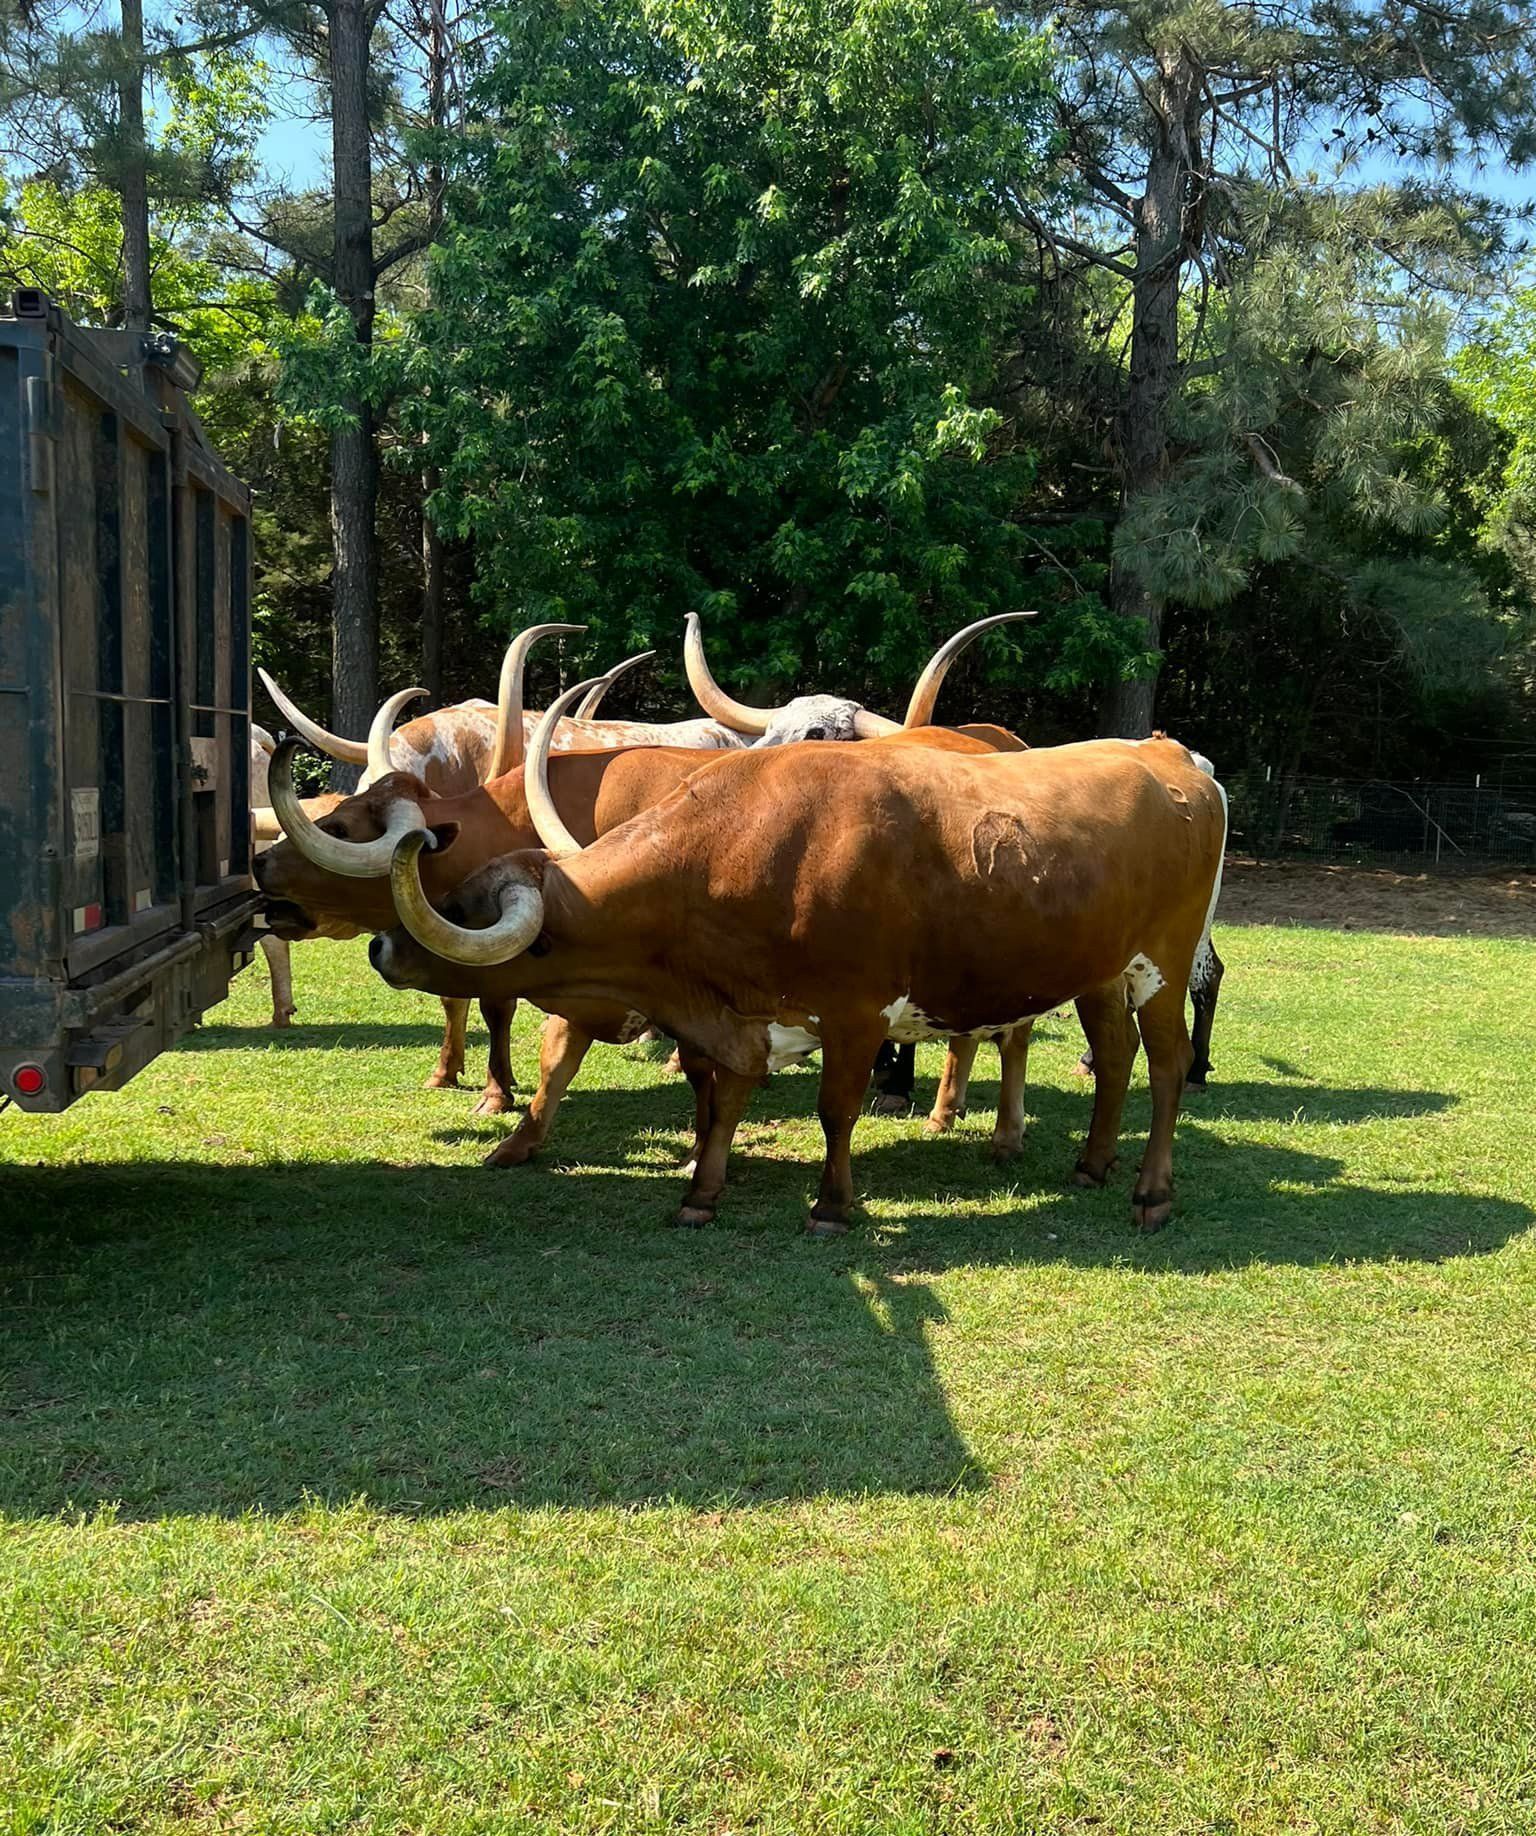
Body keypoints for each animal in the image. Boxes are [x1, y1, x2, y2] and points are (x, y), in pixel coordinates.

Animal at [372, 676, 1229, 1236]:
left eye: (466, 913)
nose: (383, 945)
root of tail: (1172, 756)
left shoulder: (854, 1013)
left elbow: (834, 1109)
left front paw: (831, 1205)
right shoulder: (744, 1014)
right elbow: (723, 1103)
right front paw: (702, 1193)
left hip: (1165, 963)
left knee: (1163, 1067)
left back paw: (1151, 1193)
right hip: (1103, 973)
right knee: (1114, 1058)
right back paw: (1091, 1164)